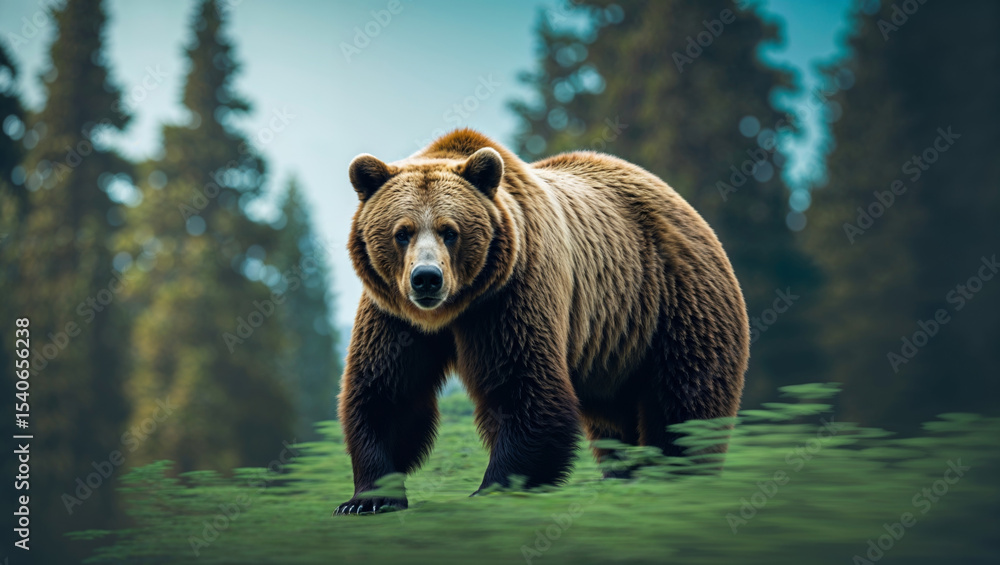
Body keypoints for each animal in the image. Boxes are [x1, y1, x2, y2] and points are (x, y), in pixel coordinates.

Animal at [334, 129, 748, 515]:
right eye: (402, 232)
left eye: (450, 231)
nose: (426, 278)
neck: (453, 311)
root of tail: (680, 202)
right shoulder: (393, 315)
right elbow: (388, 393)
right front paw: (366, 499)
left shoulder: (513, 293)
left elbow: (525, 388)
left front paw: (493, 488)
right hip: (615, 348)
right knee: (616, 424)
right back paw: (624, 474)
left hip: (672, 302)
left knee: (685, 399)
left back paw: (675, 477)